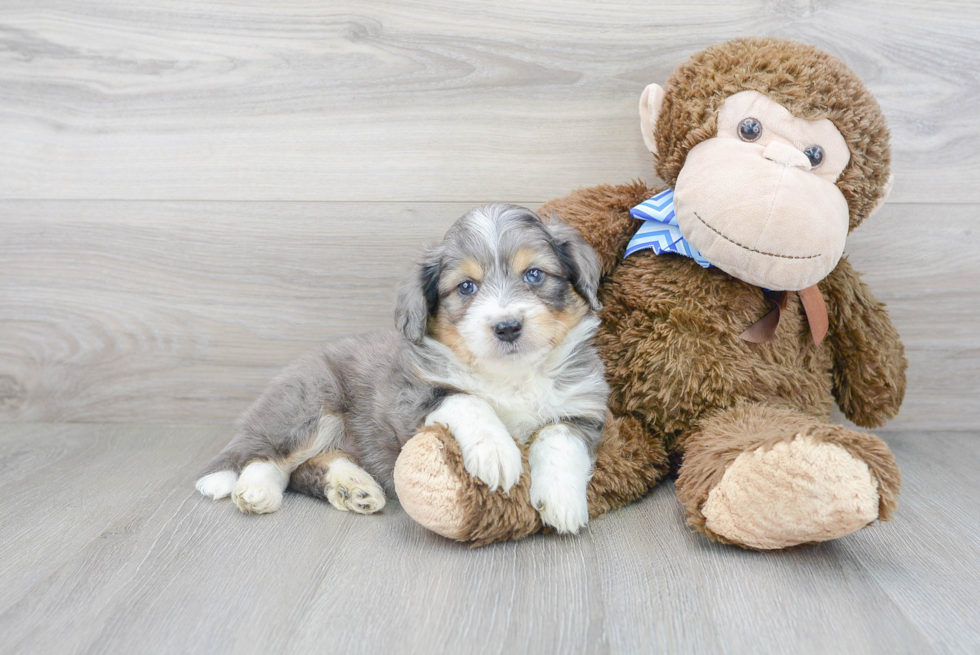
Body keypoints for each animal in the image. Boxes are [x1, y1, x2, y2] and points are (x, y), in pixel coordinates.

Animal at [195, 204, 608, 532]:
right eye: (466, 287)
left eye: (534, 274)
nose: (507, 327)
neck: (509, 374)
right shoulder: (411, 397)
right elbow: (469, 401)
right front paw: (496, 450)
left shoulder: (583, 408)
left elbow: (559, 439)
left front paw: (562, 499)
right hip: (311, 405)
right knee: (267, 456)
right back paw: (255, 490)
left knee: (306, 468)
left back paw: (353, 488)